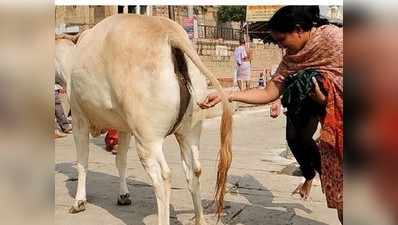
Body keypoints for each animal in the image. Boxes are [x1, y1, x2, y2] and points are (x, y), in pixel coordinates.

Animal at [57, 14, 235, 225]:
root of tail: (170, 32)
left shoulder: (78, 118)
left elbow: (82, 162)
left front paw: (79, 202)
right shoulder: (124, 127)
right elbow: (121, 159)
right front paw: (123, 195)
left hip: (148, 137)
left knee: (163, 178)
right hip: (189, 130)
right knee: (194, 170)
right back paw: (200, 218)